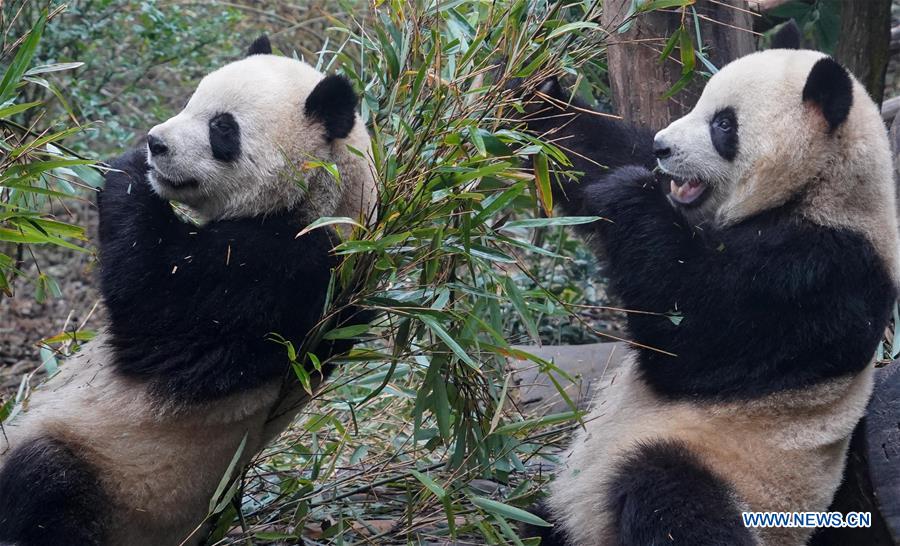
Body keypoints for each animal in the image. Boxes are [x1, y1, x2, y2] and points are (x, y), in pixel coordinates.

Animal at [0, 36, 376, 546]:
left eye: (222, 129)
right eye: (190, 101)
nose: (156, 143)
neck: (330, 196)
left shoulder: (285, 271)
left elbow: (153, 299)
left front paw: (126, 168)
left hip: (117, 477)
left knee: (45, 487)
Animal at [520, 50, 899, 545]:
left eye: (723, 124)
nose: (661, 147)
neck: (820, 186)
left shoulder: (823, 270)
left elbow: (695, 334)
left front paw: (627, 191)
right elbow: (595, 151)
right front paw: (530, 84)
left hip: (737, 476)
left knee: (669, 494)